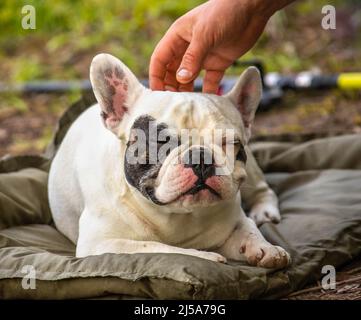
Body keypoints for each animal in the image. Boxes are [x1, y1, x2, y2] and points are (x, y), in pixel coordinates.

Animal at [47, 53, 290, 268]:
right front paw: (204, 257)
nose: (201, 157)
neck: (175, 216)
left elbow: (248, 228)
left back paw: (264, 212)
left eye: (230, 142)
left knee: (263, 190)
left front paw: (266, 248)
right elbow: (161, 249)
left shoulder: (235, 221)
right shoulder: (101, 244)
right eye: (161, 141)